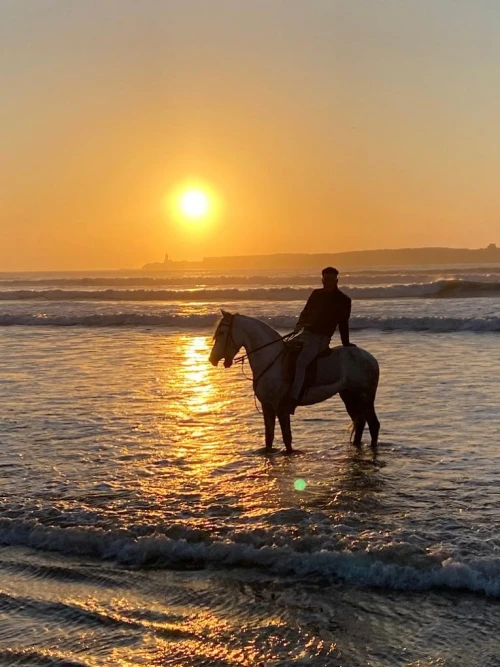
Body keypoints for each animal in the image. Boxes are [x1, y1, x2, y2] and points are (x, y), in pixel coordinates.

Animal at [209, 310, 380, 456]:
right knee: (360, 423)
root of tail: (370, 357)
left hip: (365, 397)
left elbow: (287, 438)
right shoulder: (267, 406)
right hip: (349, 396)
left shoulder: (281, 407)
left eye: (221, 333)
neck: (272, 361)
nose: (212, 359)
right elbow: (269, 437)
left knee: (373, 424)